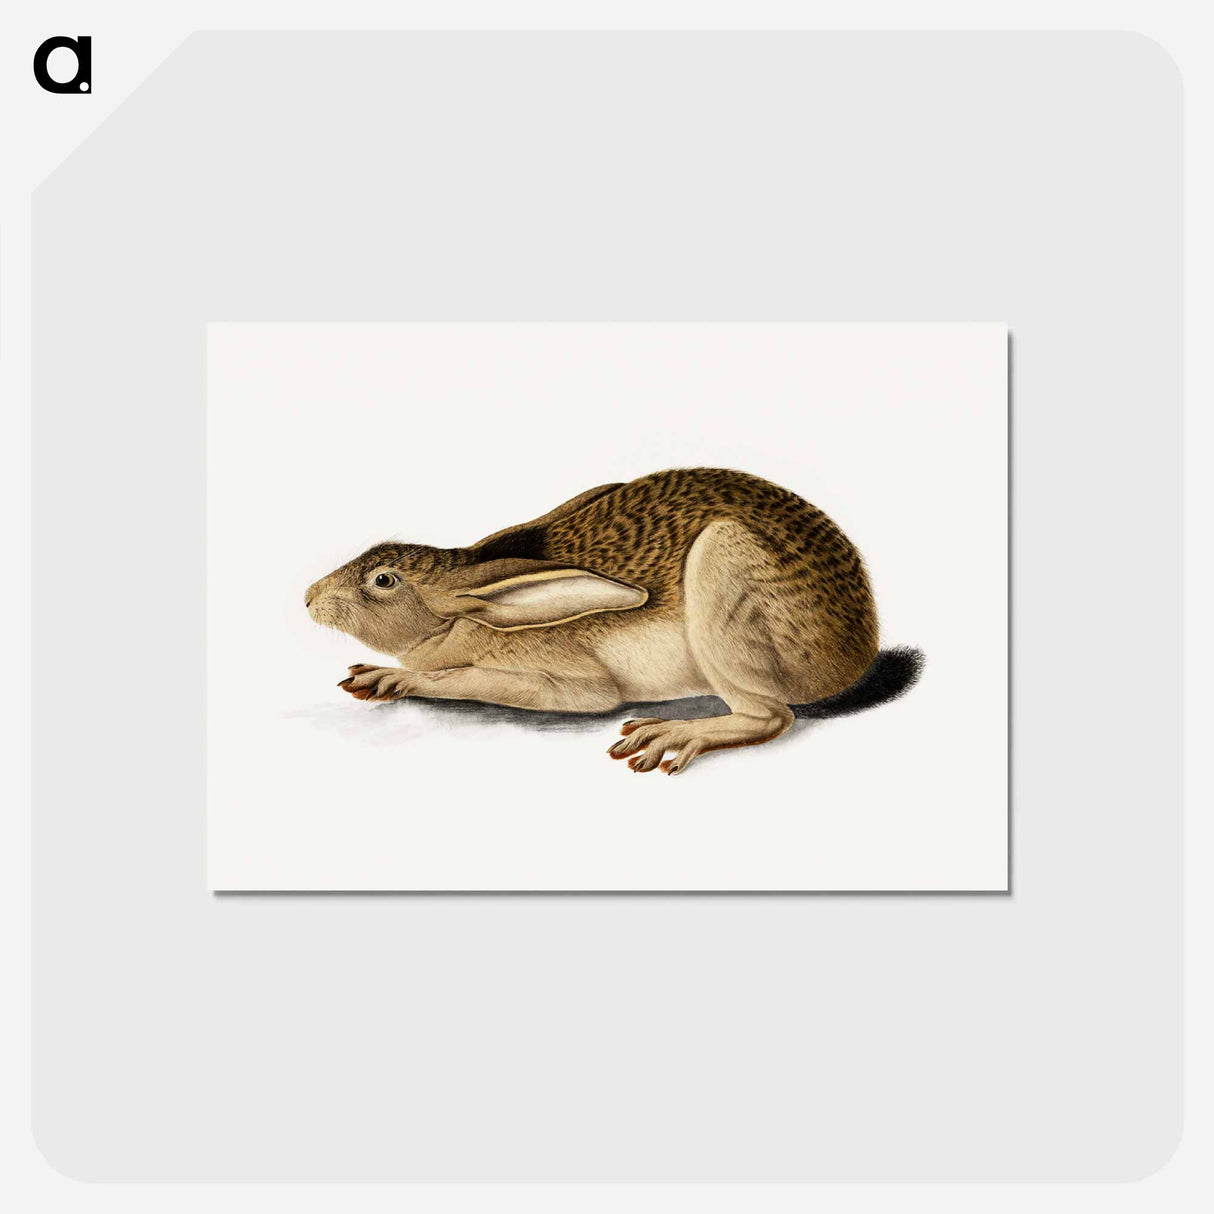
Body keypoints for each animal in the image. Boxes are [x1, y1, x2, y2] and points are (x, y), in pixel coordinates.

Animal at [305, 468, 923, 774]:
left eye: (383, 580)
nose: (309, 597)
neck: (468, 609)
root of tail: (858, 647)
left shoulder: (569, 683)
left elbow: (463, 680)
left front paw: (391, 678)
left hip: (723, 573)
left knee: (771, 716)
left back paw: (671, 734)